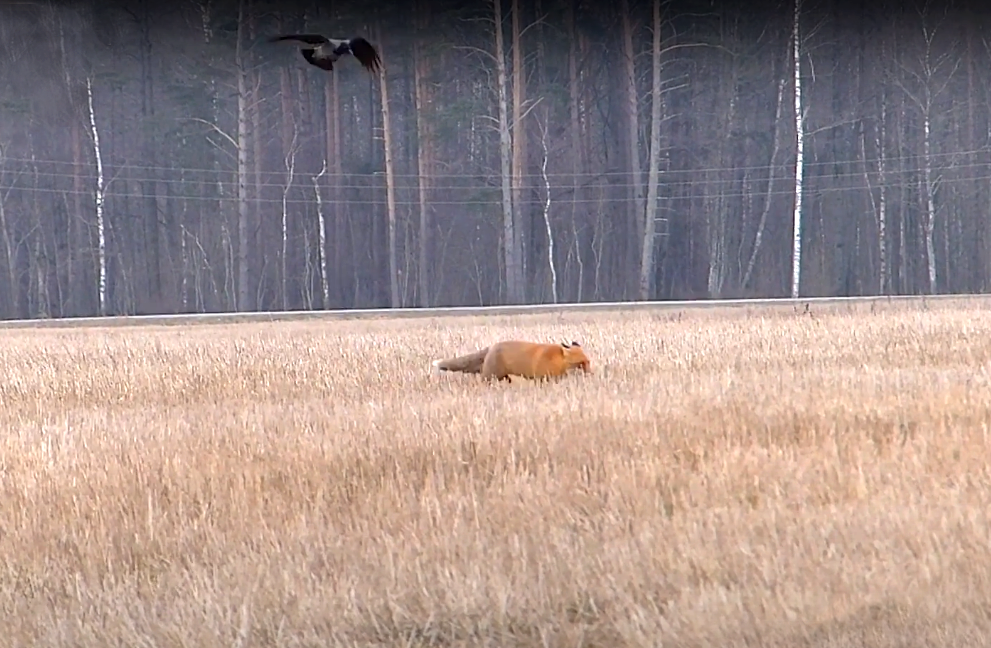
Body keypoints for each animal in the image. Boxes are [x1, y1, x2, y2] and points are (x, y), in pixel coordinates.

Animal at [431, 339, 592, 382]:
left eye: (588, 362)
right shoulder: (541, 378)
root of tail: (491, 347)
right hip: (490, 378)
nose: (591, 373)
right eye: (581, 364)